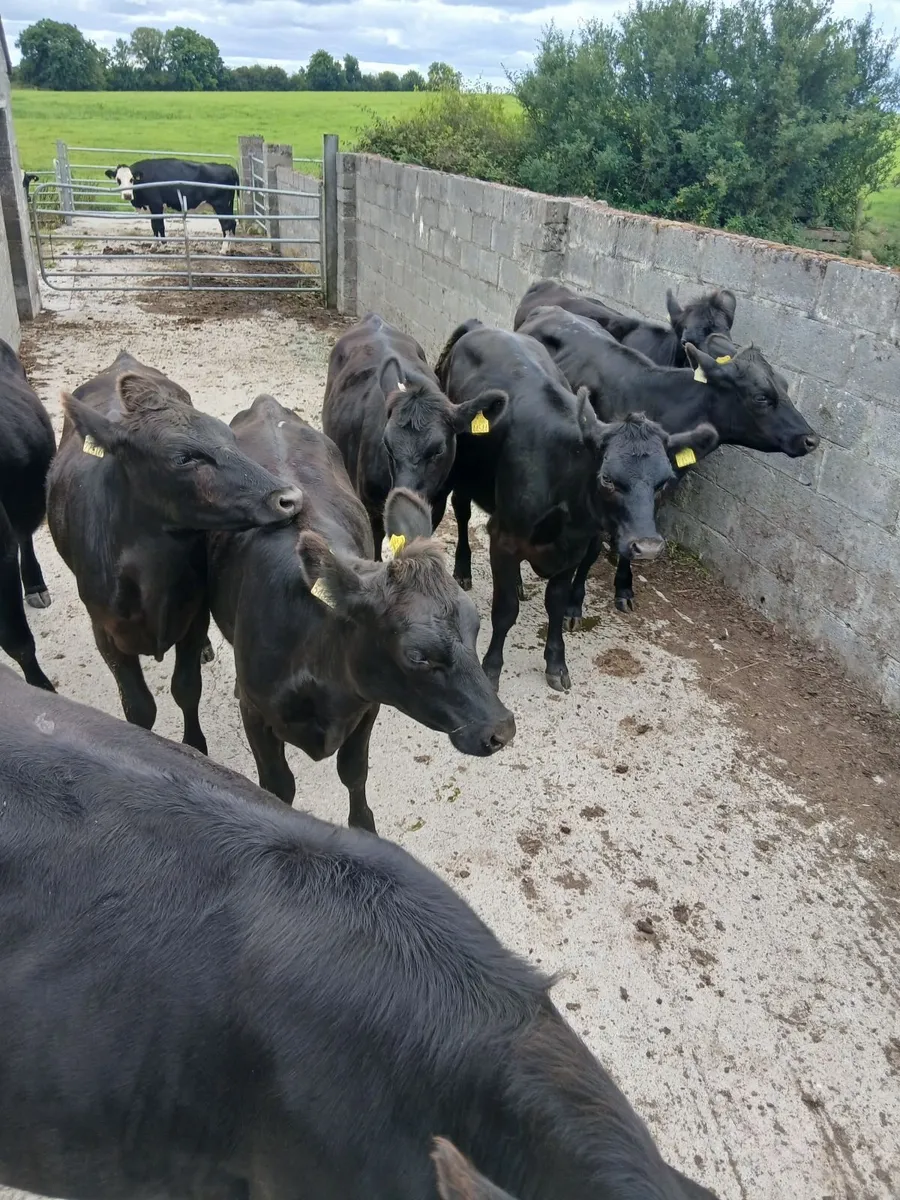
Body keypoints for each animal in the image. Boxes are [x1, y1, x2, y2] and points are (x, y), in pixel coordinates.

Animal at [46, 352, 302, 753]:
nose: (289, 497)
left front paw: (194, 744)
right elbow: (139, 707)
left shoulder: (194, 616)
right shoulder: (106, 632)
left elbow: (186, 688)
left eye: (231, 439)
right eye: (184, 458)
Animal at [105, 158, 240, 254]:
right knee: (233, 223)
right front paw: (153, 246)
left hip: (220, 205)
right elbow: (154, 227)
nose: (127, 195)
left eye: (132, 179)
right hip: (228, 206)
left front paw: (163, 246)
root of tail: (228, 167)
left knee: (226, 224)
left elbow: (159, 226)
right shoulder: (151, 209)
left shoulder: (156, 205)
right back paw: (232, 247)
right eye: (118, 180)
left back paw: (223, 249)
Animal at [207, 395, 516, 833]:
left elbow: (354, 771)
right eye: (416, 655)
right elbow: (278, 786)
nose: (500, 730)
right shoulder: (256, 714)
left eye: (475, 626)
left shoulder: (367, 704)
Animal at [434, 320, 716, 692]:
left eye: (664, 481)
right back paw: (463, 570)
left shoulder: (573, 549)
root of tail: (483, 327)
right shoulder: (504, 538)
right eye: (607, 479)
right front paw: (491, 669)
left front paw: (556, 663)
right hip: (460, 473)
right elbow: (505, 610)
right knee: (462, 511)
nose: (647, 547)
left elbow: (556, 603)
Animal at [518, 304, 819, 613]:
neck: (661, 403)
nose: (811, 439)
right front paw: (574, 601)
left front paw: (624, 587)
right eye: (761, 397)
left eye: (785, 385)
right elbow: (590, 548)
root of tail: (550, 309)